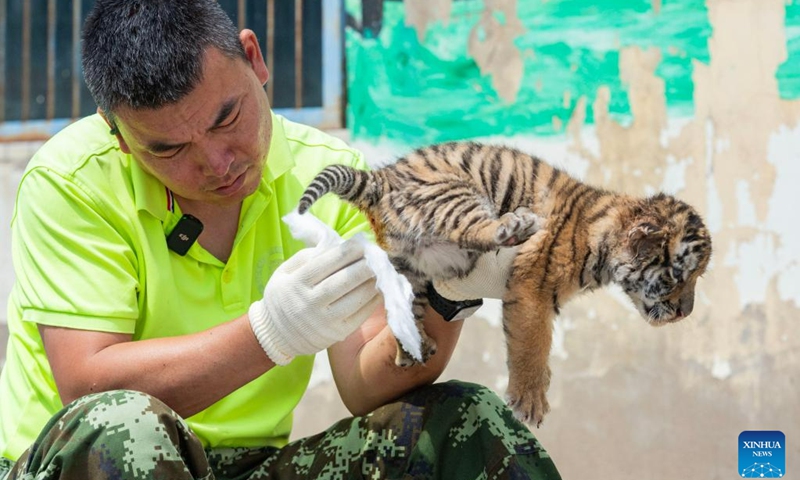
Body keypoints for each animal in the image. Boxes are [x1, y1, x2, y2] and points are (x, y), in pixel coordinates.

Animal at [297, 141, 712, 426]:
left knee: (403, 309)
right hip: (455, 194)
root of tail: (381, 179)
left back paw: (412, 348)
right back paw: (520, 223)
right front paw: (529, 402)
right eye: (679, 275)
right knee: (482, 229)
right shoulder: (533, 289)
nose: (685, 312)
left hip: (410, 268)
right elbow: (533, 344)